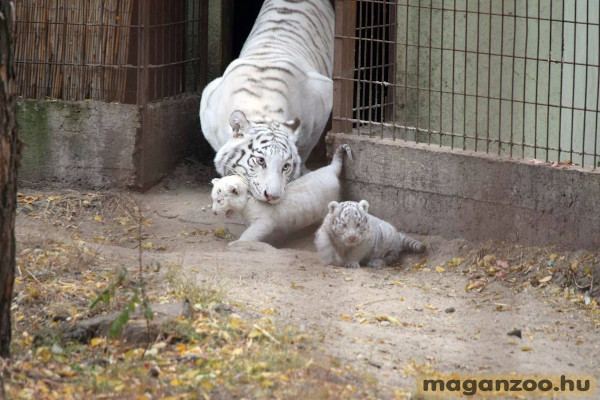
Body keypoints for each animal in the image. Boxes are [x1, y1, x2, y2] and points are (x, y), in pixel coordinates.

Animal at [200, 0, 332, 203]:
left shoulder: (323, 97)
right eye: (260, 161)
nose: (272, 196)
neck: (262, 108)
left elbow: (305, 149)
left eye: (285, 166)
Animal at [212, 144, 350, 244]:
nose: (213, 212)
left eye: (219, 201)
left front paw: (237, 243)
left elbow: (249, 234)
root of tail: (331, 168)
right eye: (213, 200)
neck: (247, 201)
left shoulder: (263, 223)